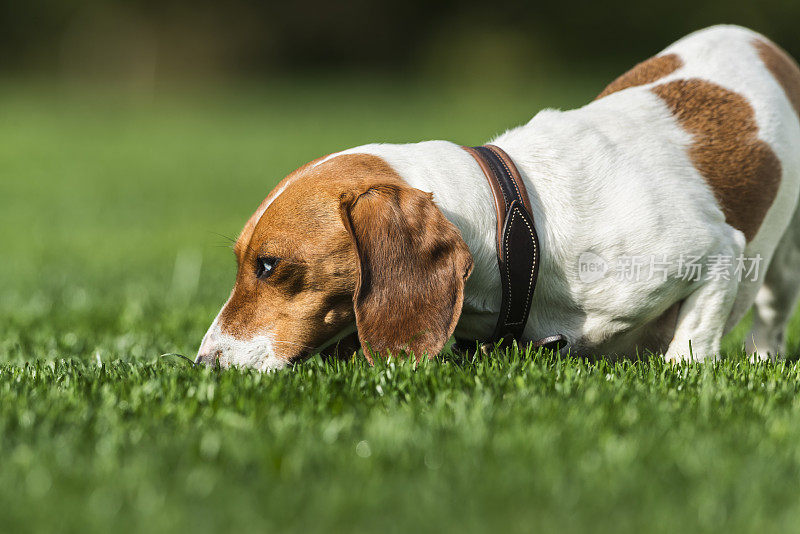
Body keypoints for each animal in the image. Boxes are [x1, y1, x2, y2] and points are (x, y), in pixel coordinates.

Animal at [197, 26, 800, 372]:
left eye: (269, 265)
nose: (202, 365)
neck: (522, 226)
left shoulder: (719, 251)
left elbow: (693, 342)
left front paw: (684, 375)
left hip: (783, 258)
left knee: (773, 307)